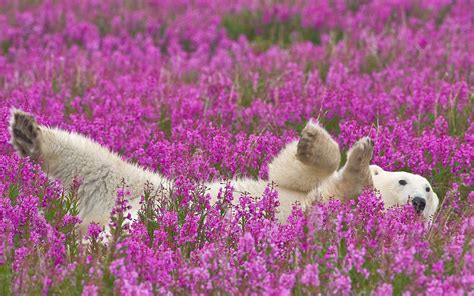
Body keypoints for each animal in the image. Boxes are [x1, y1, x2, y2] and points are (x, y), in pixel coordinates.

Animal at [8, 108, 436, 231]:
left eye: (430, 193)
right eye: (406, 180)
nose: (417, 202)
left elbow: (337, 195)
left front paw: (359, 163)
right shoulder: (293, 187)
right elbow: (286, 173)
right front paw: (317, 141)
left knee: (95, 170)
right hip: (144, 188)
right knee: (94, 161)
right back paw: (27, 131)